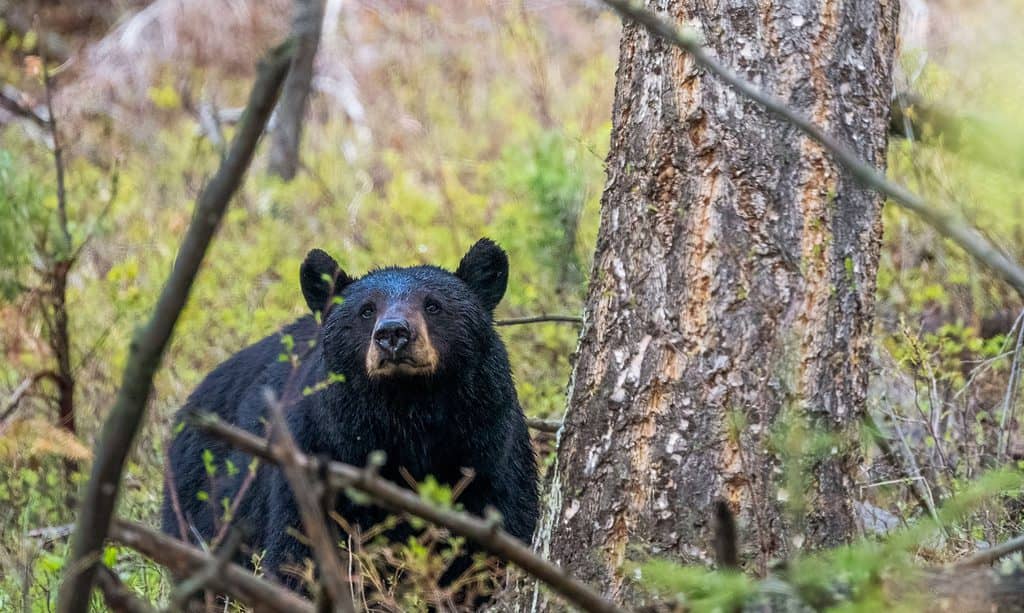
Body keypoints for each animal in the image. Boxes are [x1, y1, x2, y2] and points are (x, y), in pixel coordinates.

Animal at [159, 239, 540, 593]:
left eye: (433, 305)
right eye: (366, 310)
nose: (393, 333)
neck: (408, 412)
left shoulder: (489, 448)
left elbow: (501, 531)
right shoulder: (318, 448)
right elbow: (299, 549)